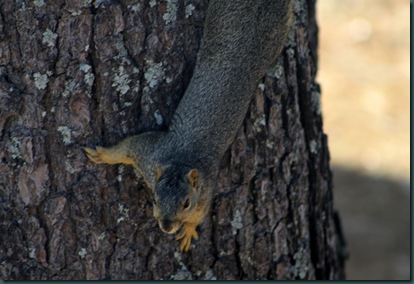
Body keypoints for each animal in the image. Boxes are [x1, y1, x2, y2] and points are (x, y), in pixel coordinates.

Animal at [84, 0, 292, 253]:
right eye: (155, 199)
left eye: (186, 203)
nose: (166, 226)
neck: (181, 161)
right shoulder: (148, 151)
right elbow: (126, 147)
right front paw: (104, 154)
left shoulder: (205, 189)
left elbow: (200, 213)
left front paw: (189, 229)